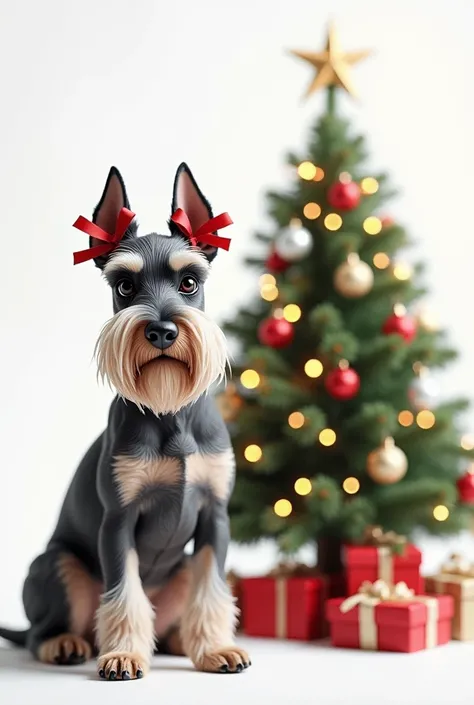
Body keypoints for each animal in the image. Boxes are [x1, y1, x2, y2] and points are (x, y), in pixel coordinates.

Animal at [0, 162, 250, 680]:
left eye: (190, 282)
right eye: (124, 286)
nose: (161, 330)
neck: (170, 412)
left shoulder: (215, 517)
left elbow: (213, 589)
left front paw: (216, 647)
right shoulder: (119, 520)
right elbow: (123, 594)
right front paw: (124, 655)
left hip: (179, 569)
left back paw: (179, 641)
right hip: (56, 567)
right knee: (39, 631)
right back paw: (66, 644)